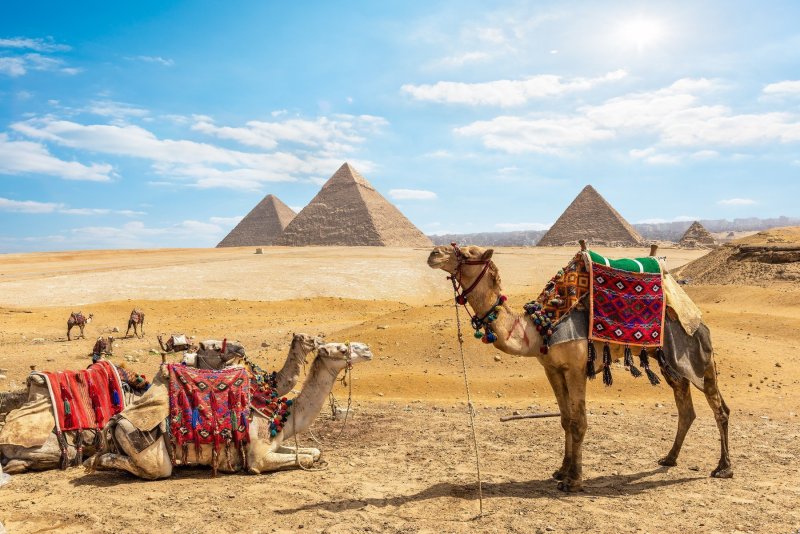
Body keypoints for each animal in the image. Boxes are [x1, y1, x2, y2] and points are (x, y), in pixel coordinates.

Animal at [87, 341, 372, 479]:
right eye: (342, 349)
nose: (368, 349)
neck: (280, 415)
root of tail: (116, 421)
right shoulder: (259, 457)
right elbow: (301, 458)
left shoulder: (274, 443)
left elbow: (313, 452)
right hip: (148, 449)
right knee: (154, 468)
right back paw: (97, 462)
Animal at [427, 244, 731, 492]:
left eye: (468, 253)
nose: (433, 253)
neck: (539, 327)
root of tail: (692, 308)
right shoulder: (552, 369)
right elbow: (565, 419)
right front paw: (561, 470)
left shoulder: (576, 368)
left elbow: (579, 421)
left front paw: (573, 480)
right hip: (669, 360)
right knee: (685, 407)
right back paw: (669, 458)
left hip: (697, 351)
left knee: (719, 406)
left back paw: (723, 467)